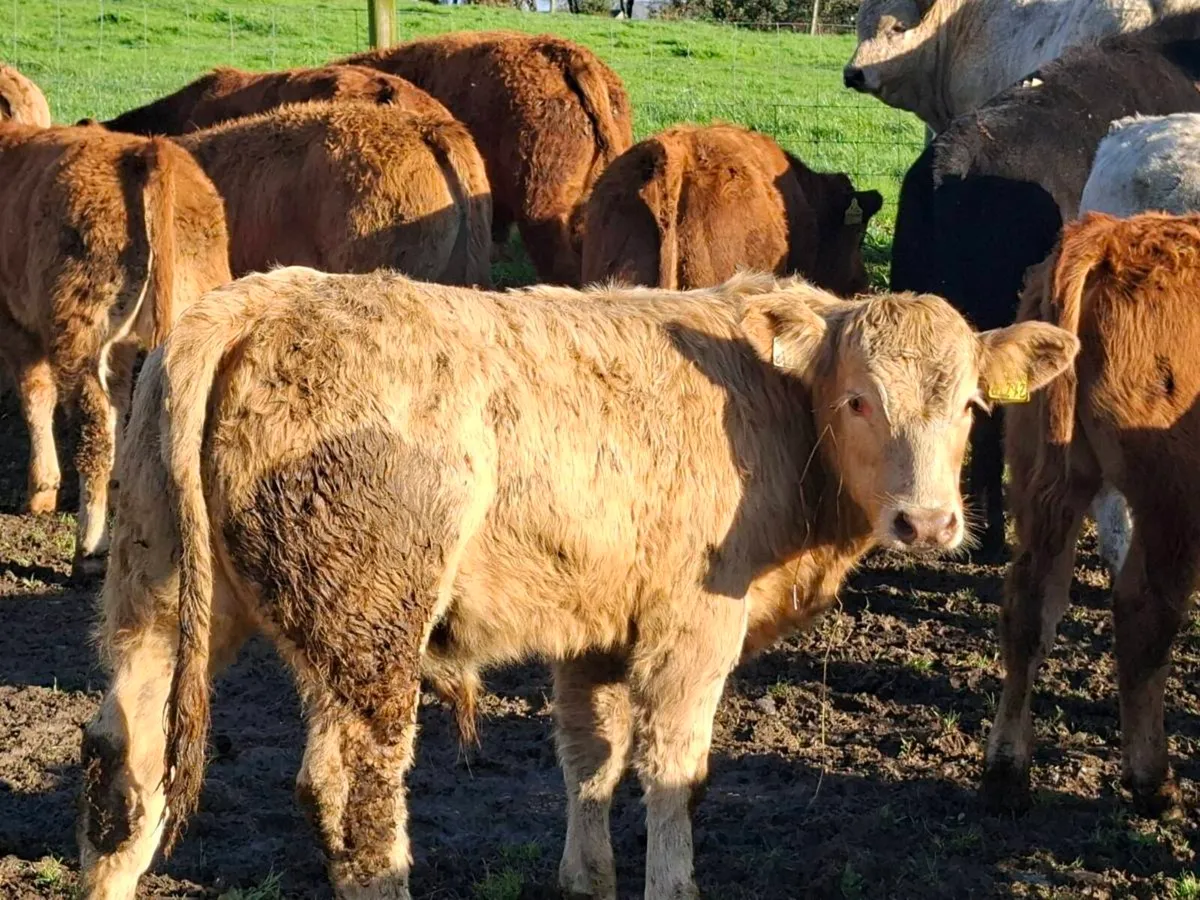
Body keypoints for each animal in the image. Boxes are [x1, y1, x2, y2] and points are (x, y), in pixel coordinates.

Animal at [0, 124, 230, 578]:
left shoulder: (15, 323)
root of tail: (146, 150)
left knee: (92, 438)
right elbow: (121, 403)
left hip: (78, 338)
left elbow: (36, 396)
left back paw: (89, 550)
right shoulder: (120, 346)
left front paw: (41, 489)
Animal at [76, 267, 1076, 900]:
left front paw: (587, 878)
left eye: (970, 407)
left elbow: (590, 761)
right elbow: (674, 774)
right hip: (369, 636)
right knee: (355, 802)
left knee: (127, 768)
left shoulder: (592, 631)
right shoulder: (692, 630)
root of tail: (257, 302)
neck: (769, 402)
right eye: (859, 399)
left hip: (158, 599)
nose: (928, 523)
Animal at [984, 212, 1200, 819]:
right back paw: (1153, 782)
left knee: (1029, 603)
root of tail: (1106, 237)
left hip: (1046, 471)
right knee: (1145, 613)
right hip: (1172, 502)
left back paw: (1006, 771)